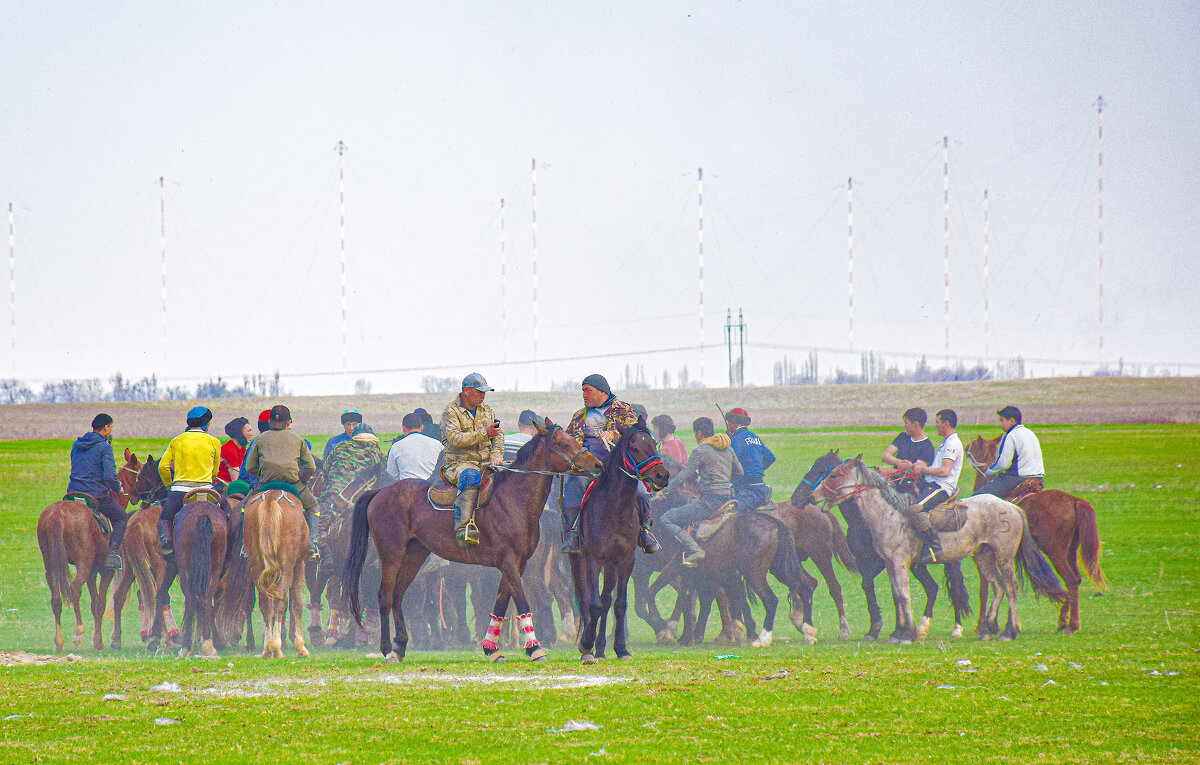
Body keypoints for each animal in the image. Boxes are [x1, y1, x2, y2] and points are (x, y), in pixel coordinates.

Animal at [36, 450, 140, 652]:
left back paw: (59, 641)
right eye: (141, 470)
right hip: (83, 563)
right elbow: (100, 604)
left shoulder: (92, 571)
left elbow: (94, 603)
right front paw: (98, 642)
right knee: (74, 588)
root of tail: (57, 513)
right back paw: (78, 633)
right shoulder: (105, 570)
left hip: (50, 563)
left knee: (55, 597)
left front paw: (97, 639)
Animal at [340, 419, 600, 666]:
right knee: (385, 596)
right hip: (391, 554)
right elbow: (521, 600)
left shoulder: (517, 563)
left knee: (397, 595)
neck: (513, 500)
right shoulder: (509, 562)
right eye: (563, 443)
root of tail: (380, 492)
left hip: (415, 554)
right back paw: (386, 650)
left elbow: (500, 604)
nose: (597, 465)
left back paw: (401, 647)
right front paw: (534, 649)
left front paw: (492, 649)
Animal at [566, 419, 672, 666]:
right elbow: (593, 604)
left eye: (653, 442)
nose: (662, 476)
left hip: (611, 565)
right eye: (635, 448)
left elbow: (619, 604)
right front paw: (586, 645)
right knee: (585, 598)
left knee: (607, 600)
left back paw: (602, 649)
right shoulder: (594, 559)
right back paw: (589, 648)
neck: (614, 508)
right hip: (580, 559)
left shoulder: (625, 560)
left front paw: (621, 649)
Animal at [964, 436, 1104, 633]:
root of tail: (1074, 500)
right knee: (1075, 579)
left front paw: (983, 624)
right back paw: (1063, 620)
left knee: (1070, 580)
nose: (965, 447)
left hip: (1055, 552)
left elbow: (986, 586)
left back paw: (1072, 625)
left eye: (975, 446)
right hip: (1070, 551)